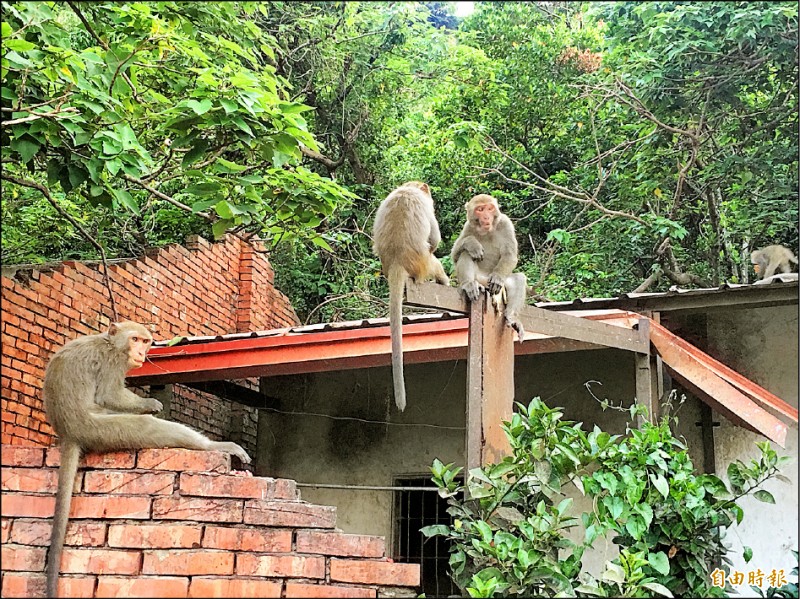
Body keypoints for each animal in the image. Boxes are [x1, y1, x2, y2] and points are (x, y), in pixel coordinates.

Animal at [43, 324, 250, 599]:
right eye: (135, 339)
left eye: (145, 341)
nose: (141, 352)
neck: (111, 342)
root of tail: (68, 432)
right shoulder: (111, 362)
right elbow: (110, 394)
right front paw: (151, 403)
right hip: (100, 429)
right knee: (144, 425)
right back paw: (212, 446)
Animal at [454, 193, 528, 342]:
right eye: (480, 209)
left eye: (489, 208)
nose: (486, 217)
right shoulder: (468, 227)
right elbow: (455, 255)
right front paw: (472, 243)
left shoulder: (505, 223)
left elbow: (510, 255)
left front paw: (498, 278)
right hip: (479, 278)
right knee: (466, 253)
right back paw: (469, 284)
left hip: (497, 286)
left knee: (518, 279)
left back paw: (512, 317)